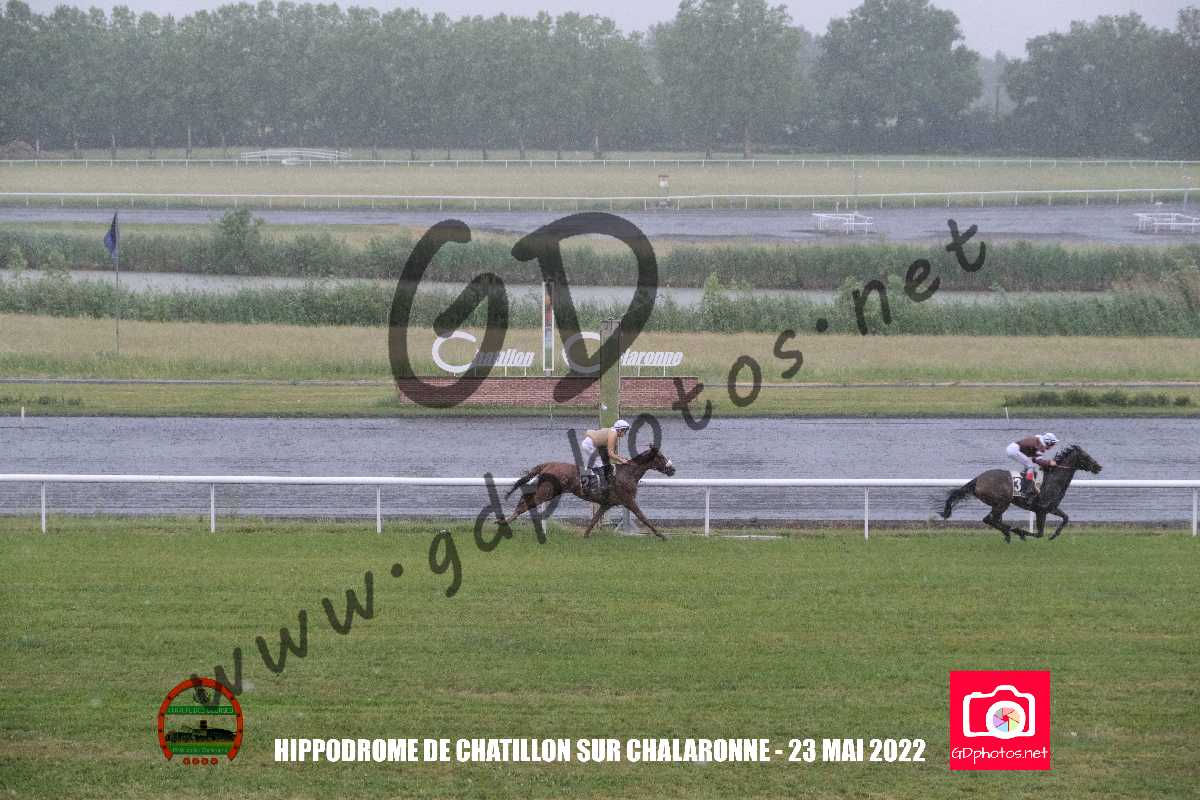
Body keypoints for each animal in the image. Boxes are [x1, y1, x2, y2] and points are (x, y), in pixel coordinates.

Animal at [502, 446, 676, 539]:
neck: (627, 473)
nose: (672, 469)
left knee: (525, 499)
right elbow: (643, 517)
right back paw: (505, 522)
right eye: (661, 456)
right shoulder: (628, 500)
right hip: (547, 492)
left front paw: (585, 535)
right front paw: (661, 535)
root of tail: (547, 465)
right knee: (526, 504)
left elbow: (594, 520)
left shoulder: (607, 504)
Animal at [939, 444, 1103, 542]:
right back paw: (1010, 531)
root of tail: (978, 479)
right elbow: (1039, 533)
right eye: (1086, 456)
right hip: (1002, 503)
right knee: (989, 519)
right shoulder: (1041, 510)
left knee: (993, 520)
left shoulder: (1051, 508)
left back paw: (1007, 533)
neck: (1053, 479)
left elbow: (1066, 518)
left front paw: (1054, 535)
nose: (1098, 467)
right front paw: (1021, 531)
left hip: (998, 504)